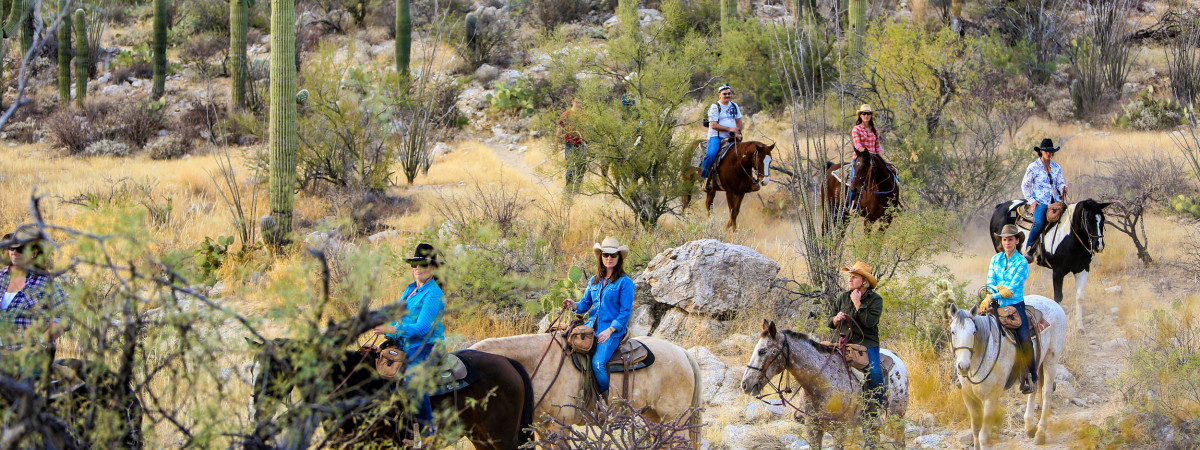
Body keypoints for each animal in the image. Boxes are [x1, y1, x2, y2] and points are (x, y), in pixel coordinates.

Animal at [248, 340, 535, 450]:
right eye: (252, 368)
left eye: (275, 369)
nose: (255, 411)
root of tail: (507, 362)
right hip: (481, 437)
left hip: (503, 437)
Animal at [463, 333, 700, 446]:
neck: (538, 362)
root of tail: (682, 352)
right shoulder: (543, 429)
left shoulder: (560, 426)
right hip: (654, 418)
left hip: (675, 418)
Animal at [739, 321, 907, 450]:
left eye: (762, 351)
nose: (745, 384)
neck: (821, 384)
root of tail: (896, 357)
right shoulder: (812, 428)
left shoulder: (840, 430)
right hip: (870, 425)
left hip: (896, 417)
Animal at [945, 296, 1070, 450]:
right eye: (952, 331)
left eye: (974, 332)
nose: (963, 366)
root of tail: (1052, 303)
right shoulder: (969, 398)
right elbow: (975, 430)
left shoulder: (991, 399)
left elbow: (983, 436)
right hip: (1036, 363)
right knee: (1034, 388)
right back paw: (1029, 427)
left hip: (1051, 359)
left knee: (1046, 393)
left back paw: (1040, 434)